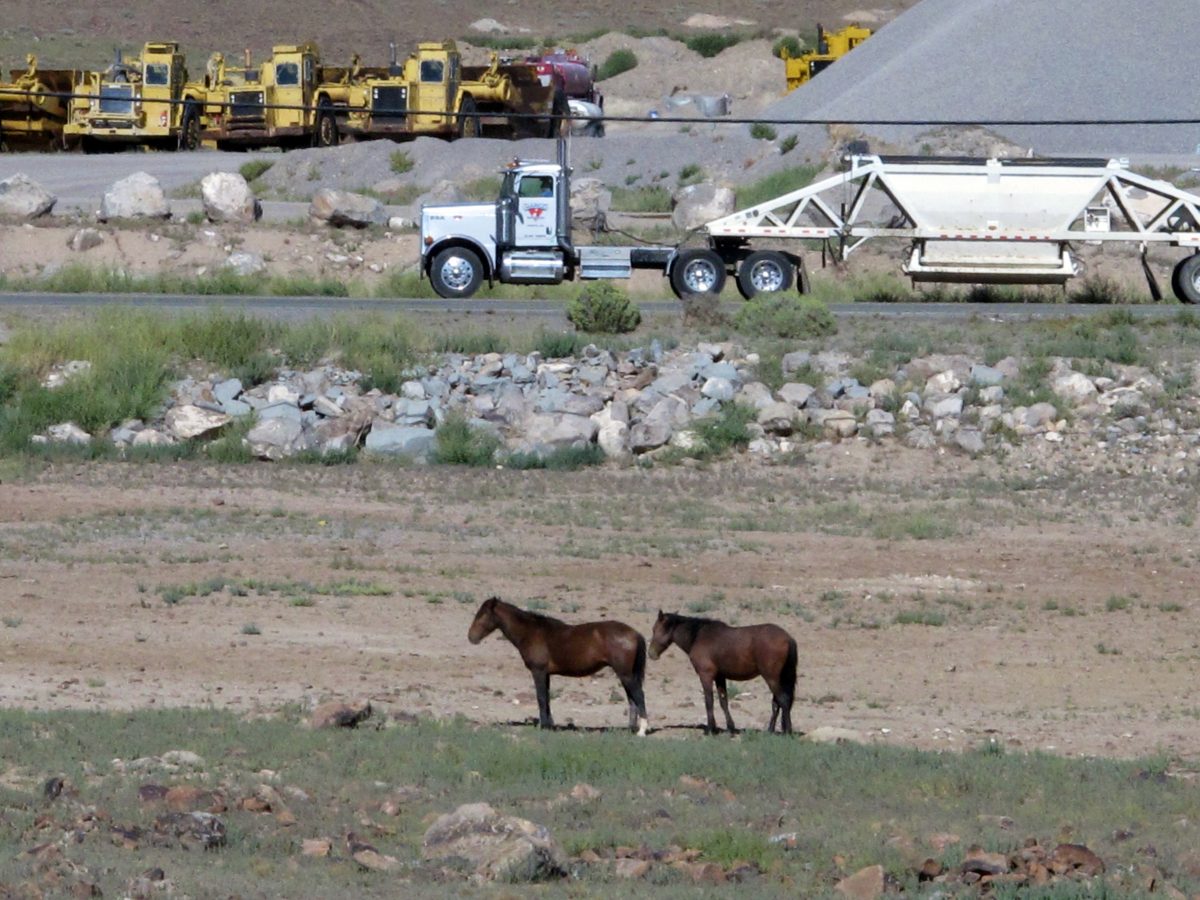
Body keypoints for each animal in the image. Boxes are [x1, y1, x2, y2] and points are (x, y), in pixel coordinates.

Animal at [463, 600, 648, 734]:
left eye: (482, 615)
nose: (471, 637)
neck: (531, 633)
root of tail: (635, 633)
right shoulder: (546, 674)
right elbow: (547, 698)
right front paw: (550, 725)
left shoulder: (538, 672)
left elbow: (541, 698)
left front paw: (544, 726)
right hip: (625, 675)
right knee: (632, 699)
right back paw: (631, 729)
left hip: (625, 674)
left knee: (639, 696)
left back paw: (642, 730)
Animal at [652, 609, 792, 734]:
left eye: (654, 629)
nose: (651, 653)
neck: (698, 636)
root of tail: (787, 638)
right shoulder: (720, 677)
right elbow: (723, 701)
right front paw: (730, 728)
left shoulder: (706, 676)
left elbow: (709, 701)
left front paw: (710, 729)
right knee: (776, 703)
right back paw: (771, 730)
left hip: (771, 678)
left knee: (783, 700)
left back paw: (788, 732)